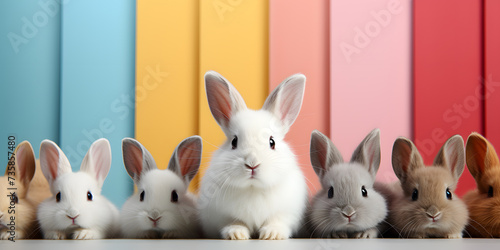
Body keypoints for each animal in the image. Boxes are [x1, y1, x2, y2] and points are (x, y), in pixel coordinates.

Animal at [197, 70, 306, 240]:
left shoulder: (285, 213)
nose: (252, 164)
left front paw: (271, 235)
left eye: (272, 142)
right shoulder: (223, 215)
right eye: (234, 141)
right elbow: (235, 222)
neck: (253, 188)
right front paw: (236, 234)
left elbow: (276, 221)